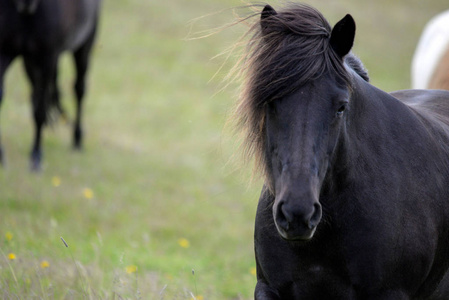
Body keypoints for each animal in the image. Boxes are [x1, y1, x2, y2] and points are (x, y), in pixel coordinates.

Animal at [0, 0, 101, 170]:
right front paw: (1, 155)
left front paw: (36, 156)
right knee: (35, 95)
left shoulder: (47, 58)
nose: (27, 3)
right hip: (30, 63)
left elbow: (40, 110)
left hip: (84, 46)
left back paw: (77, 139)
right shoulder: (4, 53)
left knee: (79, 90)